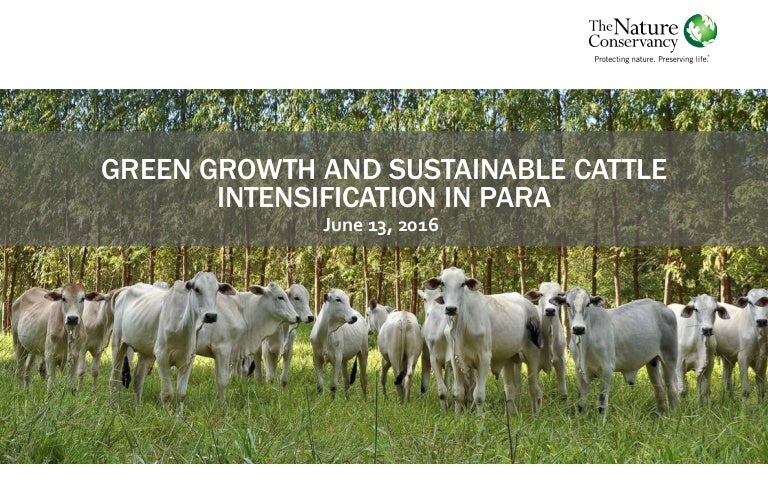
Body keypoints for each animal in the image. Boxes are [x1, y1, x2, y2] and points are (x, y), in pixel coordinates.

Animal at [110, 272, 236, 412]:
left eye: (216, 291)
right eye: (197, 289)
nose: (211, 316)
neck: (181, 327)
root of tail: (125, 289)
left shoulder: (188, 360)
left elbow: (181, 394)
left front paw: (179, 416)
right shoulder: (162, 358)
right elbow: (167, 393)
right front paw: (167, 415)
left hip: (145, 352)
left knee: (138, 379)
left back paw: (138, 407)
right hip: (118, 343)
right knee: (114, 378)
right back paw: (113, 406)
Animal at [424, 267, 543, 414]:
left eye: (462, 284)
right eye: (442, 283)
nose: (451, 309)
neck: (461, 326)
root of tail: (530, 305)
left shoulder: (484, 357)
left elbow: (479, 395)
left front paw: (479, 419)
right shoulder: (455, 359)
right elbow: (458, 393)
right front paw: (457, 417)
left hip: (533, 355)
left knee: (534, 389)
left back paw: (536, 415)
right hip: (508, 359)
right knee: (510, 389)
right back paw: (509, 415)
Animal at [549, 287, 679, 421]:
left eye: (588, 304)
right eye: (568, 304)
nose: (578, 329)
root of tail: (664, 308)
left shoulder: (607, 370)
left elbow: (602, 402)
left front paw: (601, 423)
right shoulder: (579, 371)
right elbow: (581, 403)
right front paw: (581, 421)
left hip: (669, 358)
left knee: (672, 388)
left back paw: (673, 416)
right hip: (652, 362)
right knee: (659, 388)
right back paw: (661, 416)